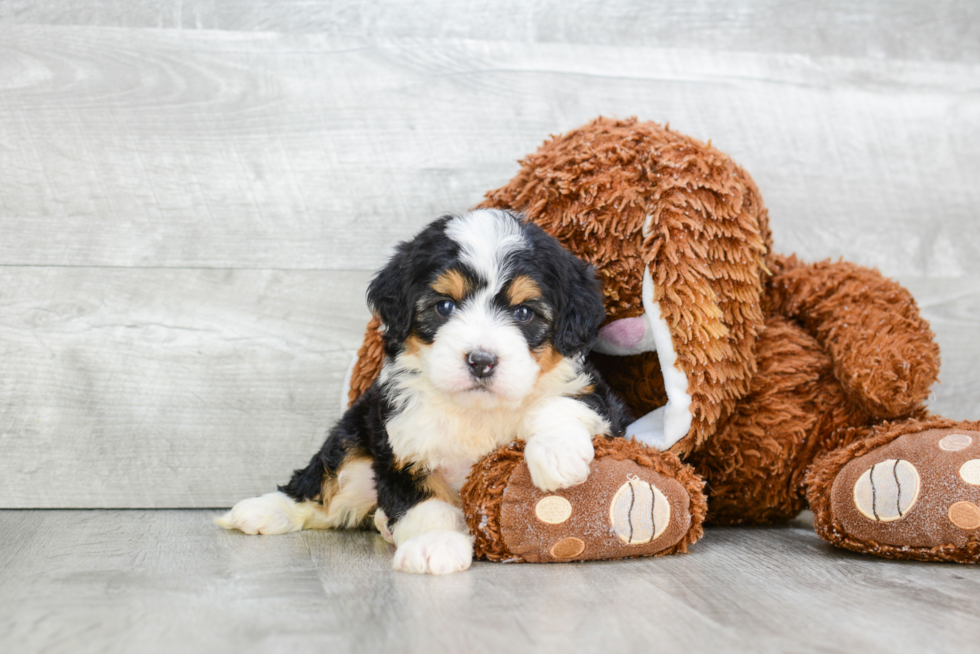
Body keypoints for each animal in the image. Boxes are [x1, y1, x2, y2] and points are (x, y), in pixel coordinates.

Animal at [216, 210, 628, 576]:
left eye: (524, 313)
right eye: (444, 306)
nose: (481, 361)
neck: (475, 410)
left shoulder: (597, 395)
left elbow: (559, 404)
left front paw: (557, 455)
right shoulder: (400, 444)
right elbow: (427, 504)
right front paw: (435, 545)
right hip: (356, 434)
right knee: (322, 481)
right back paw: (264, 510)